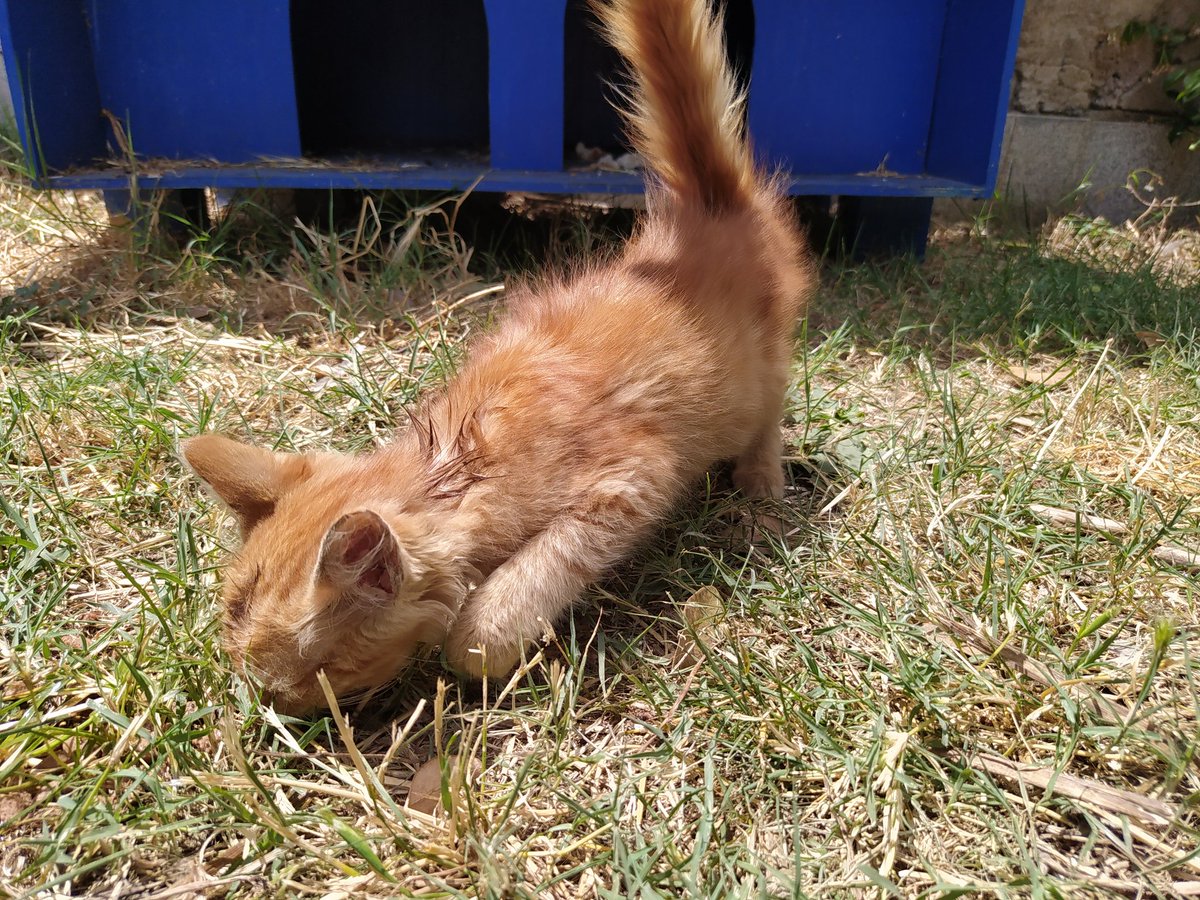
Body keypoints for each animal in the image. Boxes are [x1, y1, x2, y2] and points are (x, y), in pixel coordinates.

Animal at [182, 0, 814, 712]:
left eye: (314, 675)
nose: (266, 703)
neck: (455, 464)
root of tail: (705, 210)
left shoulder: (631, 478)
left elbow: (509, 600)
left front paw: (479, 639)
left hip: (765, 360)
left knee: (771, 405)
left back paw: (762, 478)